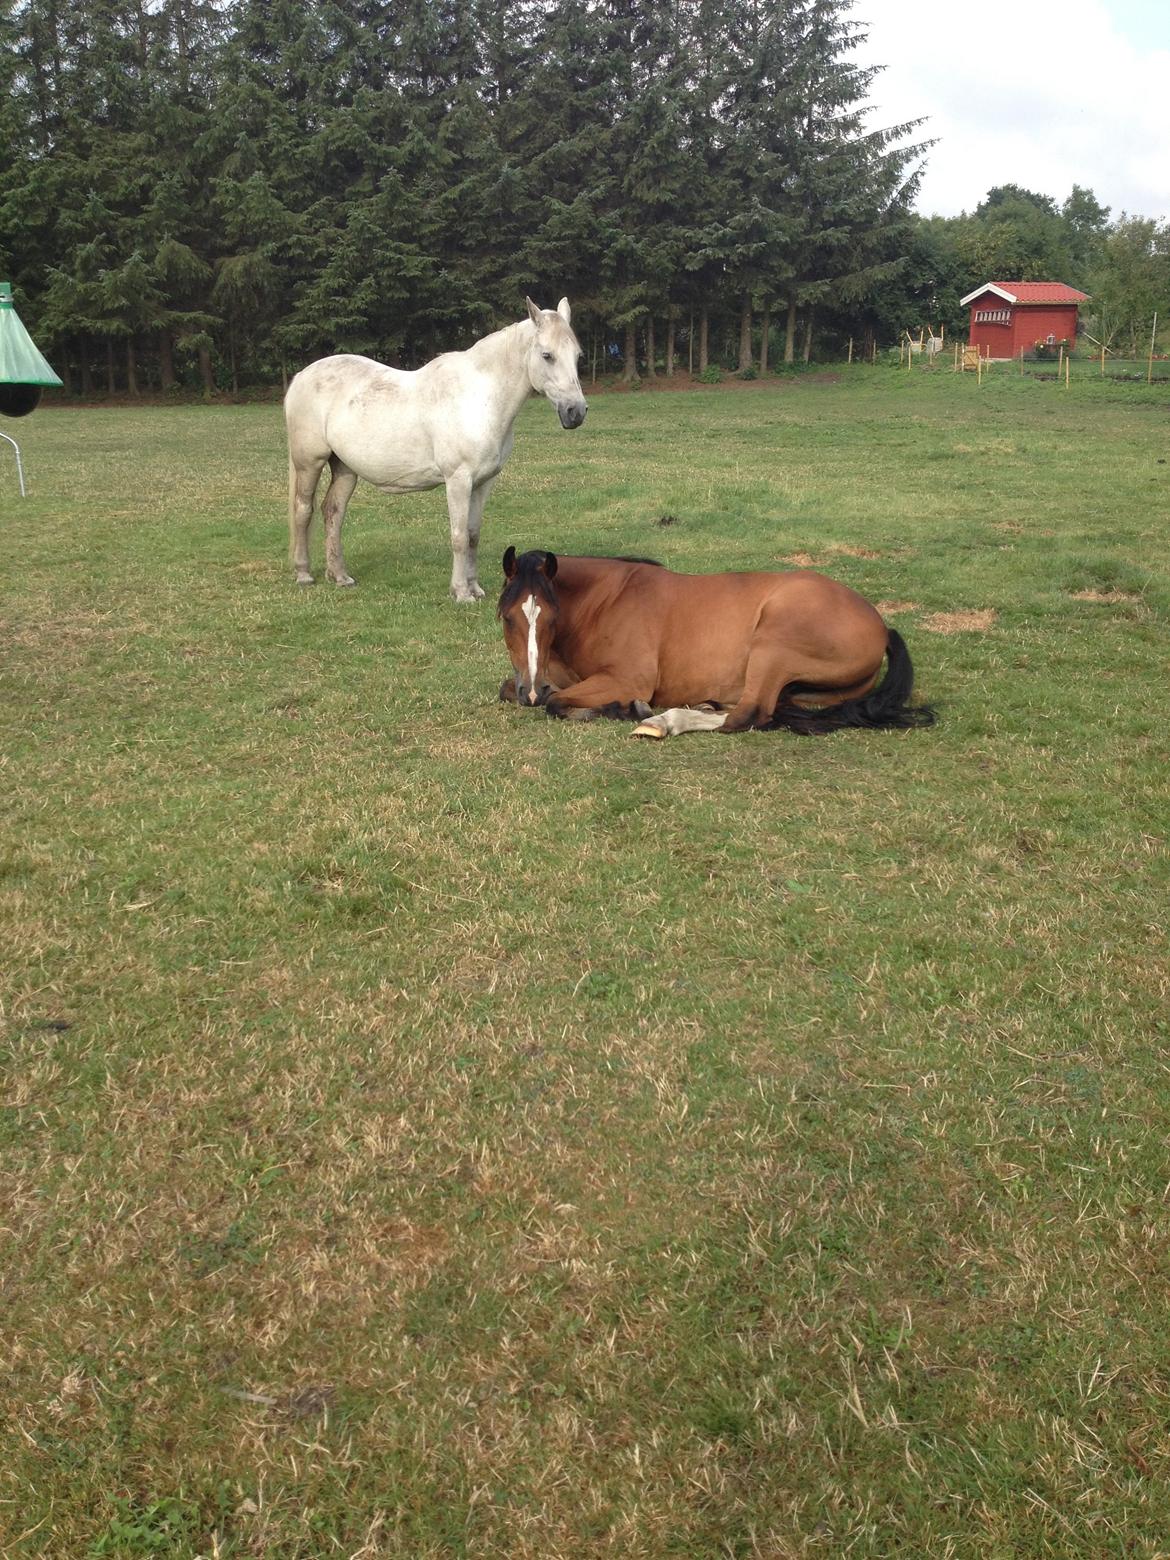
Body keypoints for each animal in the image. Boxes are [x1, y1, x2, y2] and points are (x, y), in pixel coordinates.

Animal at [282, 297, 589, 595]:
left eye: (577, 355)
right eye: (547, 355)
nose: (576, 412)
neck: (480, 398)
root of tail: (301, 377)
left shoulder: (483, 483)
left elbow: (473, 535)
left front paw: (475, 588)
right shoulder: (458, 480)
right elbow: (459, 537)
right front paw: (461, 592)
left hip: (345, 469)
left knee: (333, 512)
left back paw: (340, 576)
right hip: (309, 463)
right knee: (303, 510)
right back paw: (304, 574)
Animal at [499, 546, 942, 739]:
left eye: (552, 618)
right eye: (507, 617)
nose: (531, 691)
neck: (608, 599)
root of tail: (881, 626)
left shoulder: (626, 679)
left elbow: (559, 703)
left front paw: (624, 709)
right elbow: (511, 688)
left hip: (773, 644)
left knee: (747, 715)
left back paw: (663, 722)